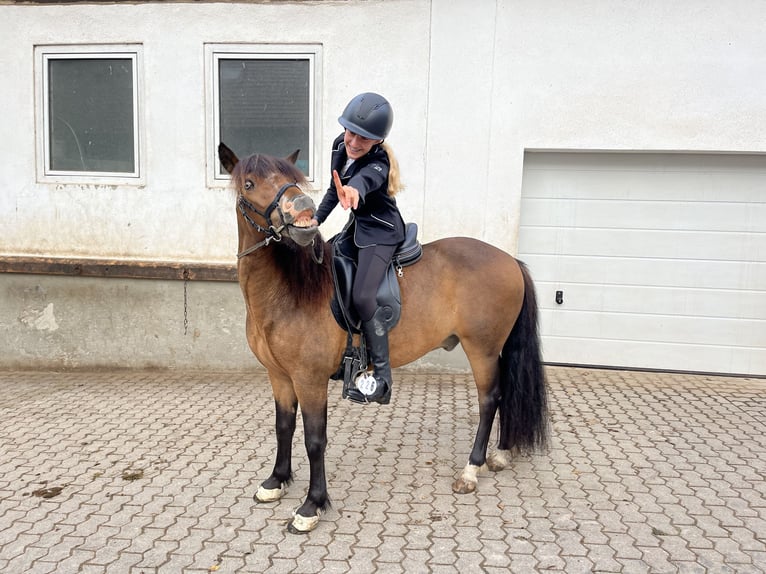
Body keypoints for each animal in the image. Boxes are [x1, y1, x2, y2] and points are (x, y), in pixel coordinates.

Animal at [217, 143, 549, 534]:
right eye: (250, 183)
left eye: (293, 178)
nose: (304, 209)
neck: (288, 291)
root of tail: (510, 260)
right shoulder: (279, 375)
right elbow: (283, 427)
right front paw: (276, 480)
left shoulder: (309, 380)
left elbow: (314, 440)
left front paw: (312, 505)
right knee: (507, 392)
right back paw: (501, 453)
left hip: (481, 349)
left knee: (490, 400)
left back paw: (472, 468)